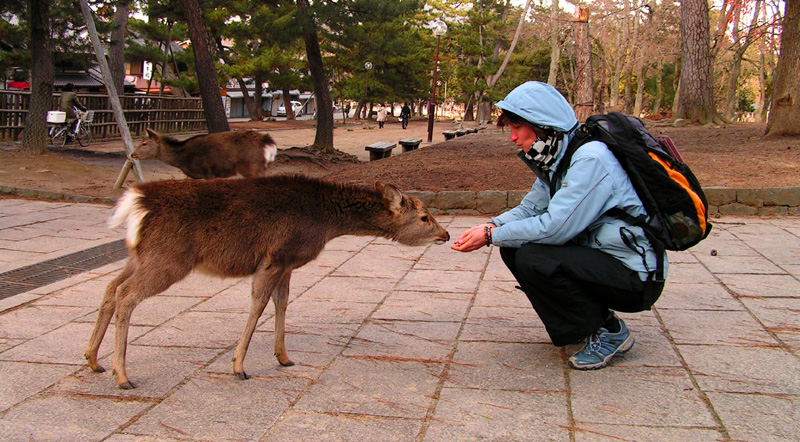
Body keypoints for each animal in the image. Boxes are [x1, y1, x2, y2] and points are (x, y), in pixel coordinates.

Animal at [85, 174, 454, 388]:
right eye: (425, 217)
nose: (446, 234)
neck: (325, 223)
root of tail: (137, 202)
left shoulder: (288, 262)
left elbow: (282, 302)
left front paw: (283, 357)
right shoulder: (275, 255)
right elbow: (259, 303)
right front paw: (238, 366)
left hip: (139, 256)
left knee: (110, 287)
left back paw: (93, 360)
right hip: (168, 259)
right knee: (126, 295)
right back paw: (122, 375)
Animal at [132, 127, 278, 179]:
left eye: (144, 143)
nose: (132, 154)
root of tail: (268, 143)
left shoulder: (207, 171)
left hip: (251, 167)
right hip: (260, 168)